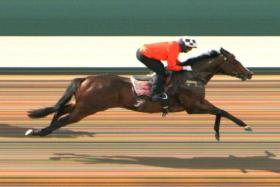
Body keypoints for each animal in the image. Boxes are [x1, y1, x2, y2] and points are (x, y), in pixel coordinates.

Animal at [25, 48, 254, 140]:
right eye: (234, 60)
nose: (249, 73)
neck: (192, 76)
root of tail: (86, 78)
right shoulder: (193, 107)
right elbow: (222, 111)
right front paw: (244, 126)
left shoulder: (199, 103)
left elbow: (220, 111)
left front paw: (219, 132)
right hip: (86, 108)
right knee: (63, 117)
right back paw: (39, 131)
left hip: (85, 104)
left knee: (62, 108)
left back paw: (43, 128)